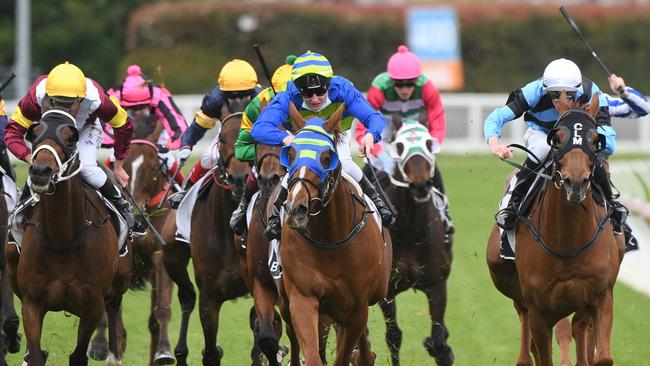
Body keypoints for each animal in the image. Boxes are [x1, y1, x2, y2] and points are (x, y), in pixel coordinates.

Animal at [5, 110, 130, 364]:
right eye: (34, 134)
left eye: (71, 139)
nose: (40, 171)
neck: (62, 239)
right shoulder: (32, 303)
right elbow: (35, 353)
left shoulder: (93, 305)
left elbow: (79, 355)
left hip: (120, 281)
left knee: (114, 307)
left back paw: (114, 355)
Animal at [274, 103, 390, 366]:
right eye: (291, 154)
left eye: (327, 157)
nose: (296, 209)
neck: (330, 237)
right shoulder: (303, 297)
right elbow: (312, 353)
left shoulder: (356, 308)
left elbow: (345, 353)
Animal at [374, 118, 456, 366]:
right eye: (400, 147)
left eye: (429, 143)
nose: (420, 185)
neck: (411, 233)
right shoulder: (387, 291)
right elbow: (393, 336)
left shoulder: (437, 284)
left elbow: (438, 338)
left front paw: (443, 349)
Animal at [486, 94, 624, 366]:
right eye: (557, 138)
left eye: (596, 139)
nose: (576, 182)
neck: (567, 241)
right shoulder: (540, 310)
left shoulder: (602, 296)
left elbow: (601, 356)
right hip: (513, 287)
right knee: (526, 330)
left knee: (578, 328)